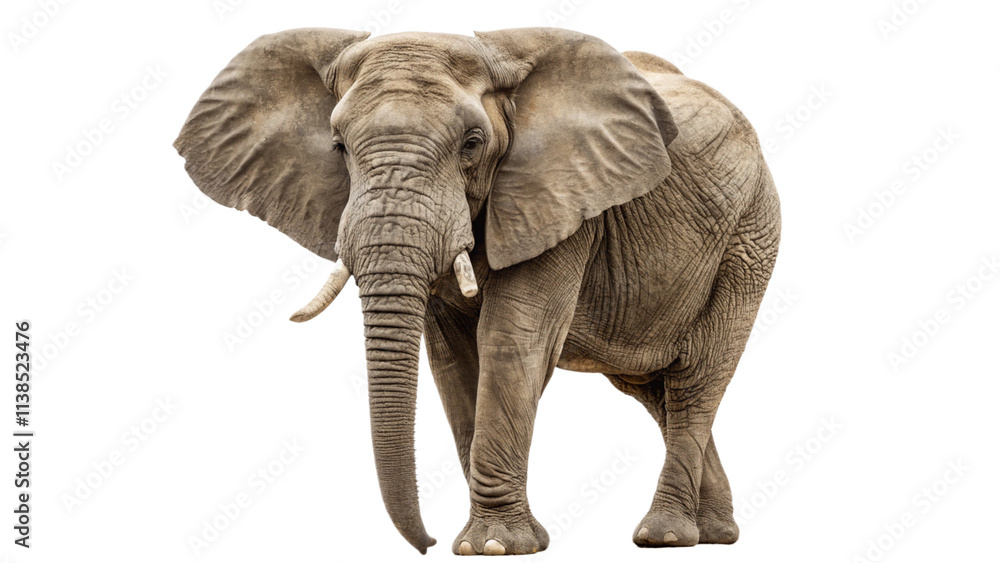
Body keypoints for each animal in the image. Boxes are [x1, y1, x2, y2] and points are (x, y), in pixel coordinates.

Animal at [174, 27, 780, 555]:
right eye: (339, 146)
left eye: (472, 144)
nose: (427, 542)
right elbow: (453, 356)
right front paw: (490, 540)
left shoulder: (561, 199)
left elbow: (511, 341)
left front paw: (492, 546)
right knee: (654, 389)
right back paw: (714, 533)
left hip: (749, 240)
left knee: (696, 379)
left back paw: (666, 536)